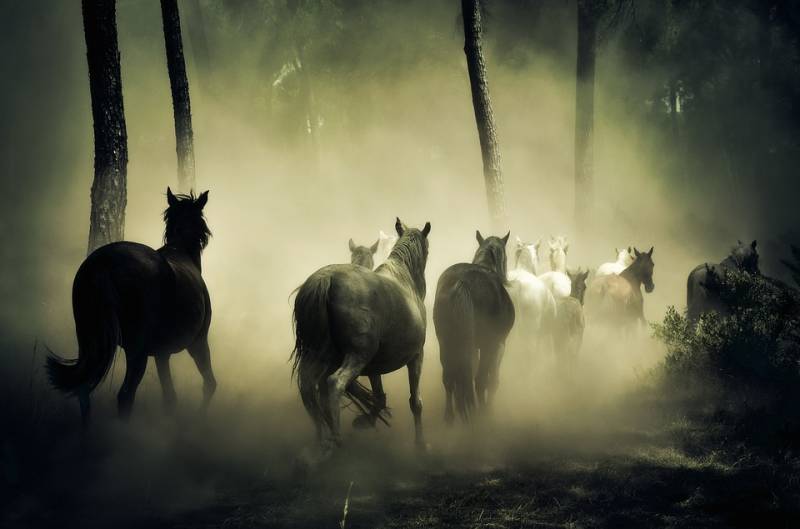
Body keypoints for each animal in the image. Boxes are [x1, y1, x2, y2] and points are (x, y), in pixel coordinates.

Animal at [46, 188, 216, 424]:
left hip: (90, 342)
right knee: (125, 395)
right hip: (137, 352)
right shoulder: (198, 343)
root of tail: (103, 262)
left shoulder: (162, 354)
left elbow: (170, 398)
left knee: (83, 391)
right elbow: (209, 385)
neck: (180, 251)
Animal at [292, 218, 431, 454]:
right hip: (357, 356)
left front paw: (366, 420)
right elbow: (415, 402)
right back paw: (335, 440)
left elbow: (379, 397)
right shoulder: (415, 356)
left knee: (309, 388)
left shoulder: (374, 366)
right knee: (334, 383)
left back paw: (320, 441)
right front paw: (420, 444)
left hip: (321, 355)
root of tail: (325, 280)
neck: (405, 280)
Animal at [433, 231, 515, 423]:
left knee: (450, 378)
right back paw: (481, 415)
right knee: (479, 380)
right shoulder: (499, 345)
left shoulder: (472, 347)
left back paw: (450, 416)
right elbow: (492, 380)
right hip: (487, 345)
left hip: (446, 342)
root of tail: (461, 283)